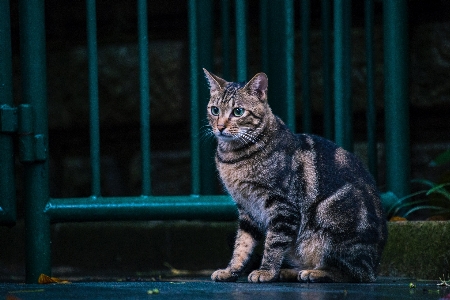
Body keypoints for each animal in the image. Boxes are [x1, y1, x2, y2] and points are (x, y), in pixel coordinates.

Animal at [203, 68, 386, 284]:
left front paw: (266, 271)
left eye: (238, 111)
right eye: (215, 110)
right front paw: (231, 270)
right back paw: (290, 271)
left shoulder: (282, 206)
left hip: (330, 218)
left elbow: (273, 244)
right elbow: (242, 245)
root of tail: (375, 266)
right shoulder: (247, 208)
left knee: (351, 272)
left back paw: (314, 273)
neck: (232, 157)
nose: (220, 126)